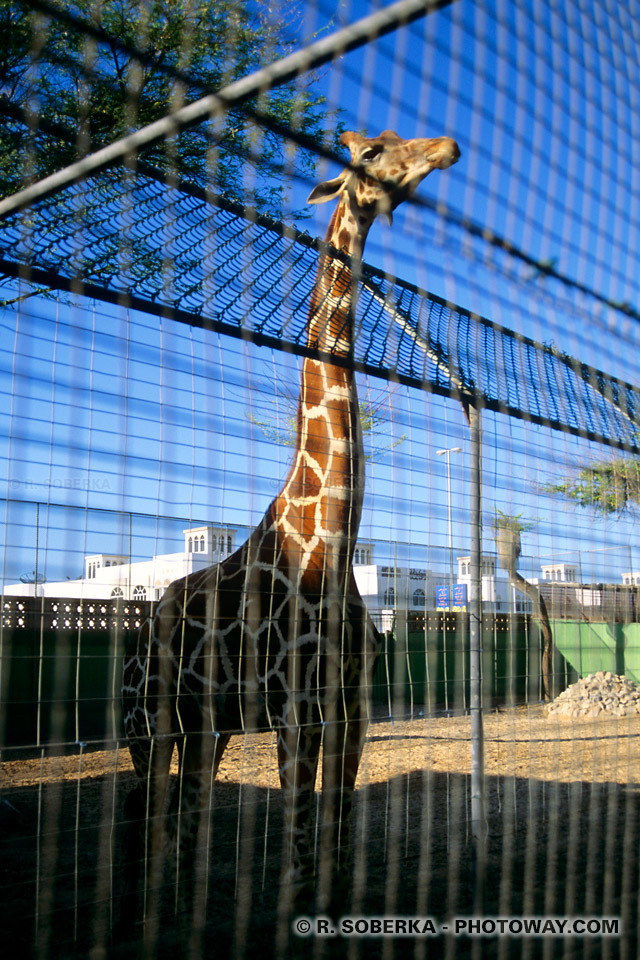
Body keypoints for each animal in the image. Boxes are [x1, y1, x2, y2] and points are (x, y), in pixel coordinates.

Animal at [121, 125, 460, 924]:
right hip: (151, 719)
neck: (329, 540)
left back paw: (177, 910)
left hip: (204, 721)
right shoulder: (294, 708)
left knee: (182, 811)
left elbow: (336, 840)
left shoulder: (351, 708)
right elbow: (301, 846)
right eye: (370, 154)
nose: (446, 147)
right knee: (150, 811)